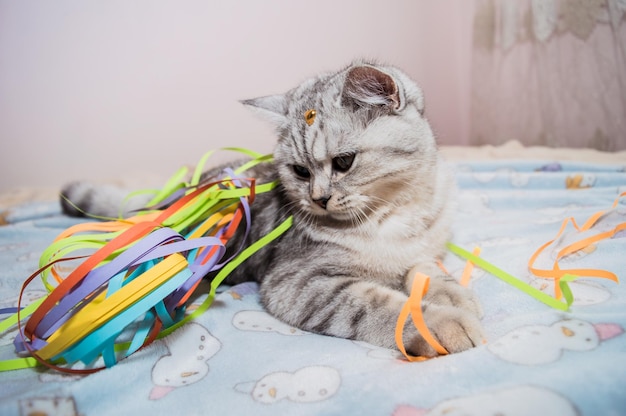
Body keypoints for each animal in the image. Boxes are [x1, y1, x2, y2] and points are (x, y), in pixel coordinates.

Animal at [62, 60, 482, 356]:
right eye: (300, 171)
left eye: (344, 162)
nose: (319, 198)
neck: (396, 210)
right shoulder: (298, 282)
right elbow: (381, 305)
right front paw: (442, 323)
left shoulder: (424, 247)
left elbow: (427, 269)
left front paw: (452, 295)